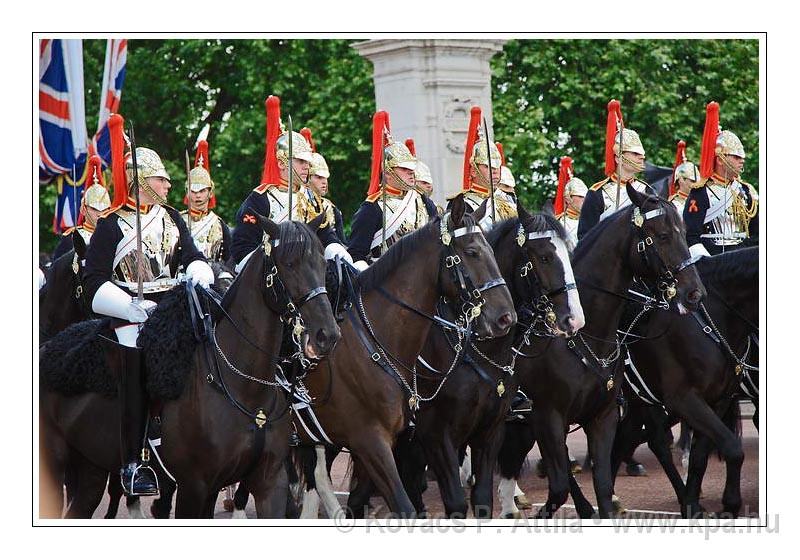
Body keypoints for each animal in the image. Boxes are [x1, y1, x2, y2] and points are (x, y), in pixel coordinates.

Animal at [39, 215, 340, 520]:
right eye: (289, 264)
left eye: (322, 263)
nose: (326, 335)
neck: (244, 387)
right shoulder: (193, 486)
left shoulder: (269, 483)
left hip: (92, 470)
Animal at [496, 186, 708, 520]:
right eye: (662, 235)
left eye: (683, 233)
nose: (694, 293)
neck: (588, 337)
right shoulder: (548, 415)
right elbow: (558, 486)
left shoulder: (601, 415)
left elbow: (604, 485)